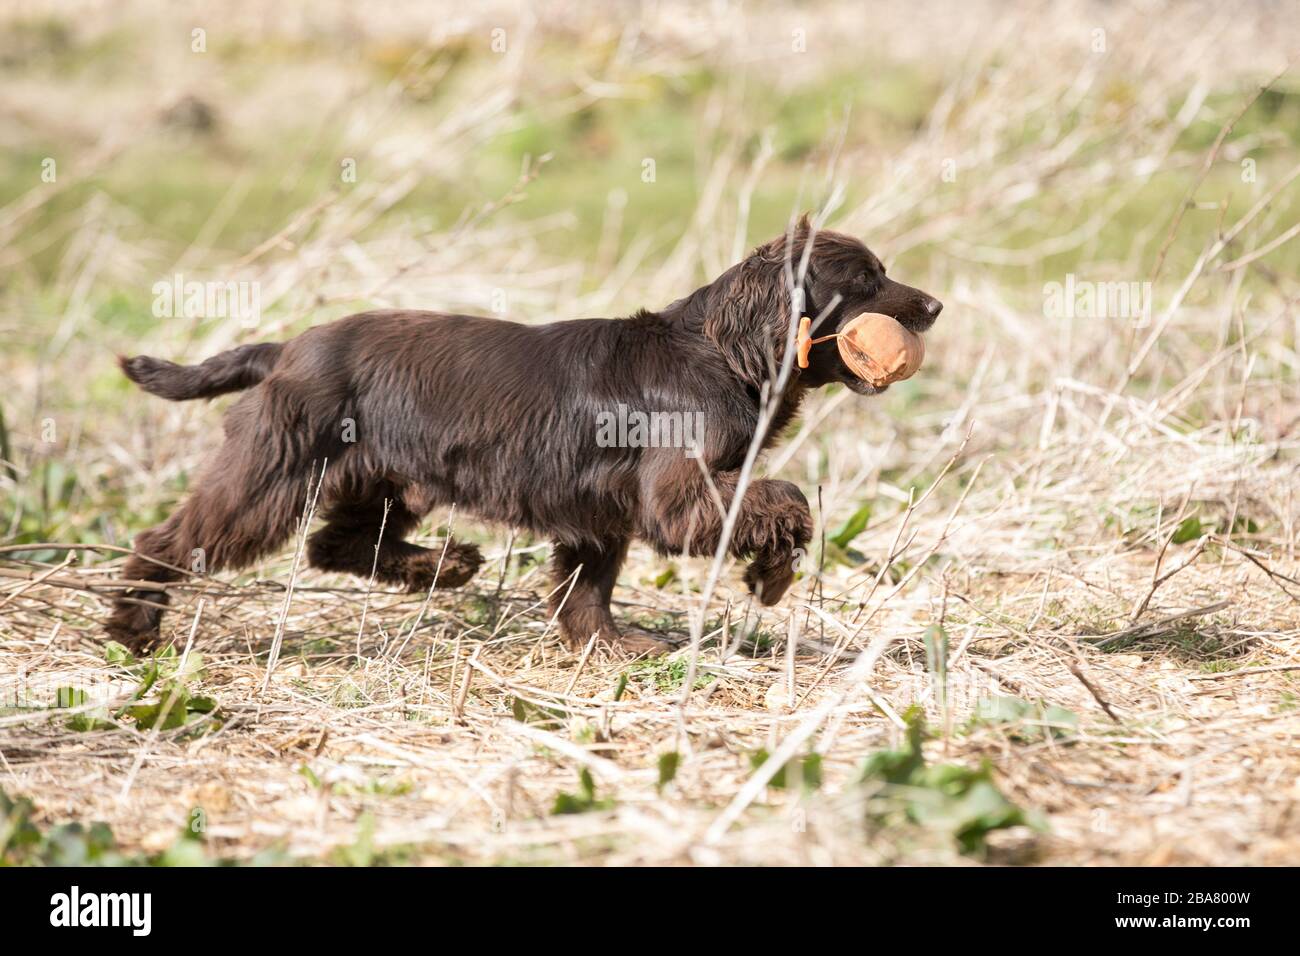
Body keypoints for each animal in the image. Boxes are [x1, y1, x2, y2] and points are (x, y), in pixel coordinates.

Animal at [106, 217, 941, 655]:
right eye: (865, 282)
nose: (934, 307)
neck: (720, 352)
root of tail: (286, 349)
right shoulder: (675, 495)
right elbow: (786, 498)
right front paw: (770, 576)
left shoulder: (604, 511)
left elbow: (588, 587)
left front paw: (609, 645)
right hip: (273, 473)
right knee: (173, 538)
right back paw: (133, 624)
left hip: (387, 479)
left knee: (335, 543)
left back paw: (442, 566)